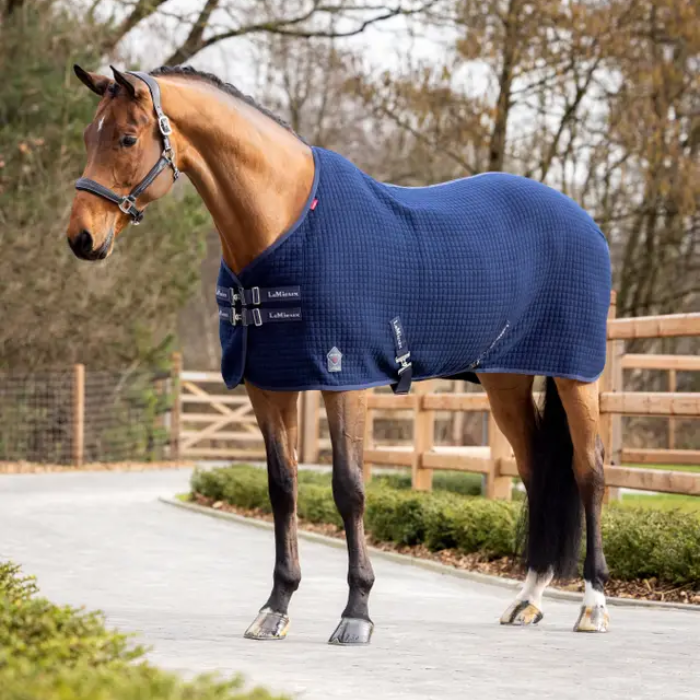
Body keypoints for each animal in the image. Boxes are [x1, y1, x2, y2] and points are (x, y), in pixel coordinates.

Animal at [66, 64, 612, 644]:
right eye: (88, 138)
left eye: (127, 138)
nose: (81, 237)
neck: (287, 225)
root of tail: (584, 221)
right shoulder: (269, 384)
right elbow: (282, 487)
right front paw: (276, 606)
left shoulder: (343, 378)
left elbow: (349, 488)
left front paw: (357, 612)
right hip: (504, 380)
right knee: (536, 471)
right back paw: (528, 598)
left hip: (577, 377)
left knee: (588, 470)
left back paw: (593, 604)